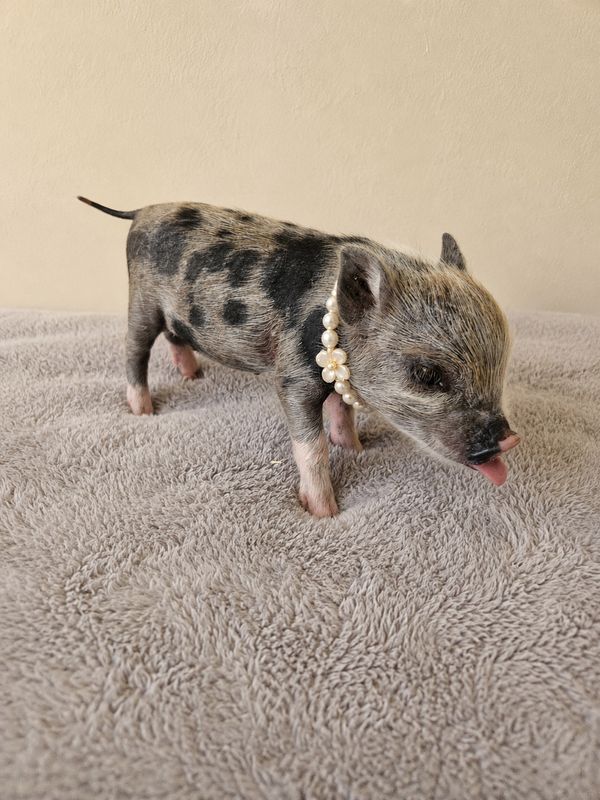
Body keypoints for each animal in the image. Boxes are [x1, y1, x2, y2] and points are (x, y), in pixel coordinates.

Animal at [78, 196, 520, 517]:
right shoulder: (292, 378)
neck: (333, 331)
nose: (510, 439)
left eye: (502, 362)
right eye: (426, 374)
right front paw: (324, 512)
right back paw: (144, 411)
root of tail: (142, 210)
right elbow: (311, 446)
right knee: (133, 351)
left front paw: (356, 448)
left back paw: (193, 376)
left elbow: (342, 413)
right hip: (141, 301)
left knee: (174, 336)